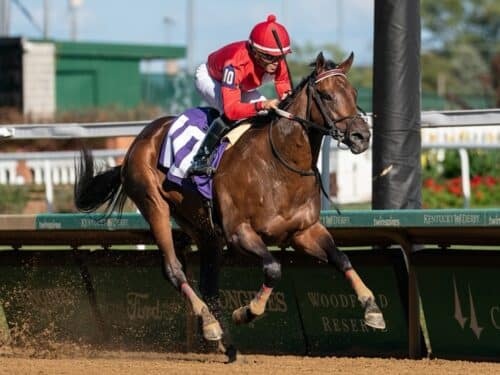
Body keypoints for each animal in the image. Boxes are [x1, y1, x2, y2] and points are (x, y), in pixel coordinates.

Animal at [74, 53, 386, 362]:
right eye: (326, 95)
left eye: (354, 93)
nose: (361, 137)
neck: (280, 166)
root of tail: (138, 142)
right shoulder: (239, 233)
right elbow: (274, 268)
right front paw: (247, 311)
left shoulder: (303, 231)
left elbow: (341, 258)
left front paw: (372, 309)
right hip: (154, 205)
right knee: (174, 269)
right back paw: (210, 324)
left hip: (205, 229)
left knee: (209, 284)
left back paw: (228, 344)